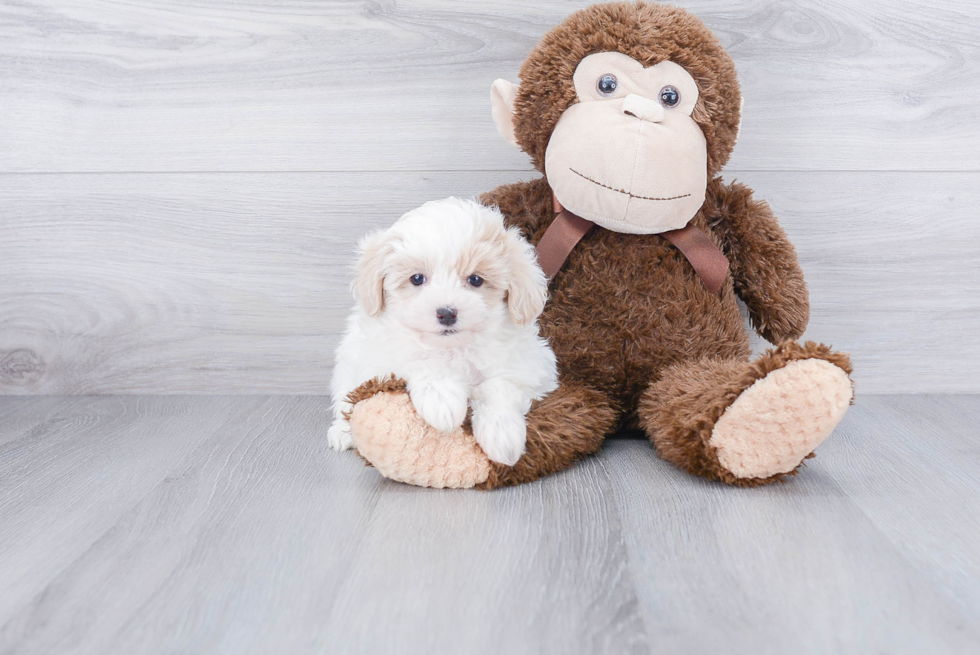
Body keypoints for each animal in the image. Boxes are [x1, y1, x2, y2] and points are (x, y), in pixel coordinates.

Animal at [328, 196, 556, 466]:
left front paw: (502, 434)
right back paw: (342, 432)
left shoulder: (531, 367)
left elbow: (498, 385)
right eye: (417, 279)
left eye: (476, 280)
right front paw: (443, 401)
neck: (453, 348)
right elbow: (422, 361)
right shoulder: (384, 357)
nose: (447, 313)